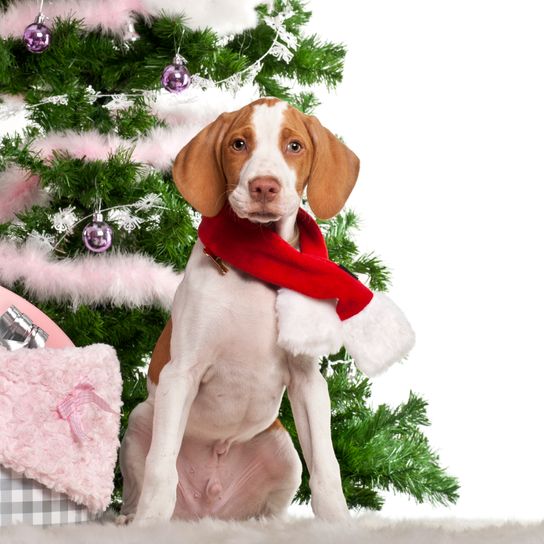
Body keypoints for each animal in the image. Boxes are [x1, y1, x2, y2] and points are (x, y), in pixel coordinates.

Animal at [120, 96, 362, 524]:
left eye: (294, 146)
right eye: (238, 144)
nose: (264, 185)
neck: (260, 260)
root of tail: (208, 512)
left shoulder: (308, 383)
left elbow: (327, 468)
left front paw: (338, 522)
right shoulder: (181, 374)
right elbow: (160, 468)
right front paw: (148, 524)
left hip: (282, 449)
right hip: (141, 420)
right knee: (143, 474)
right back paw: (131, 517)